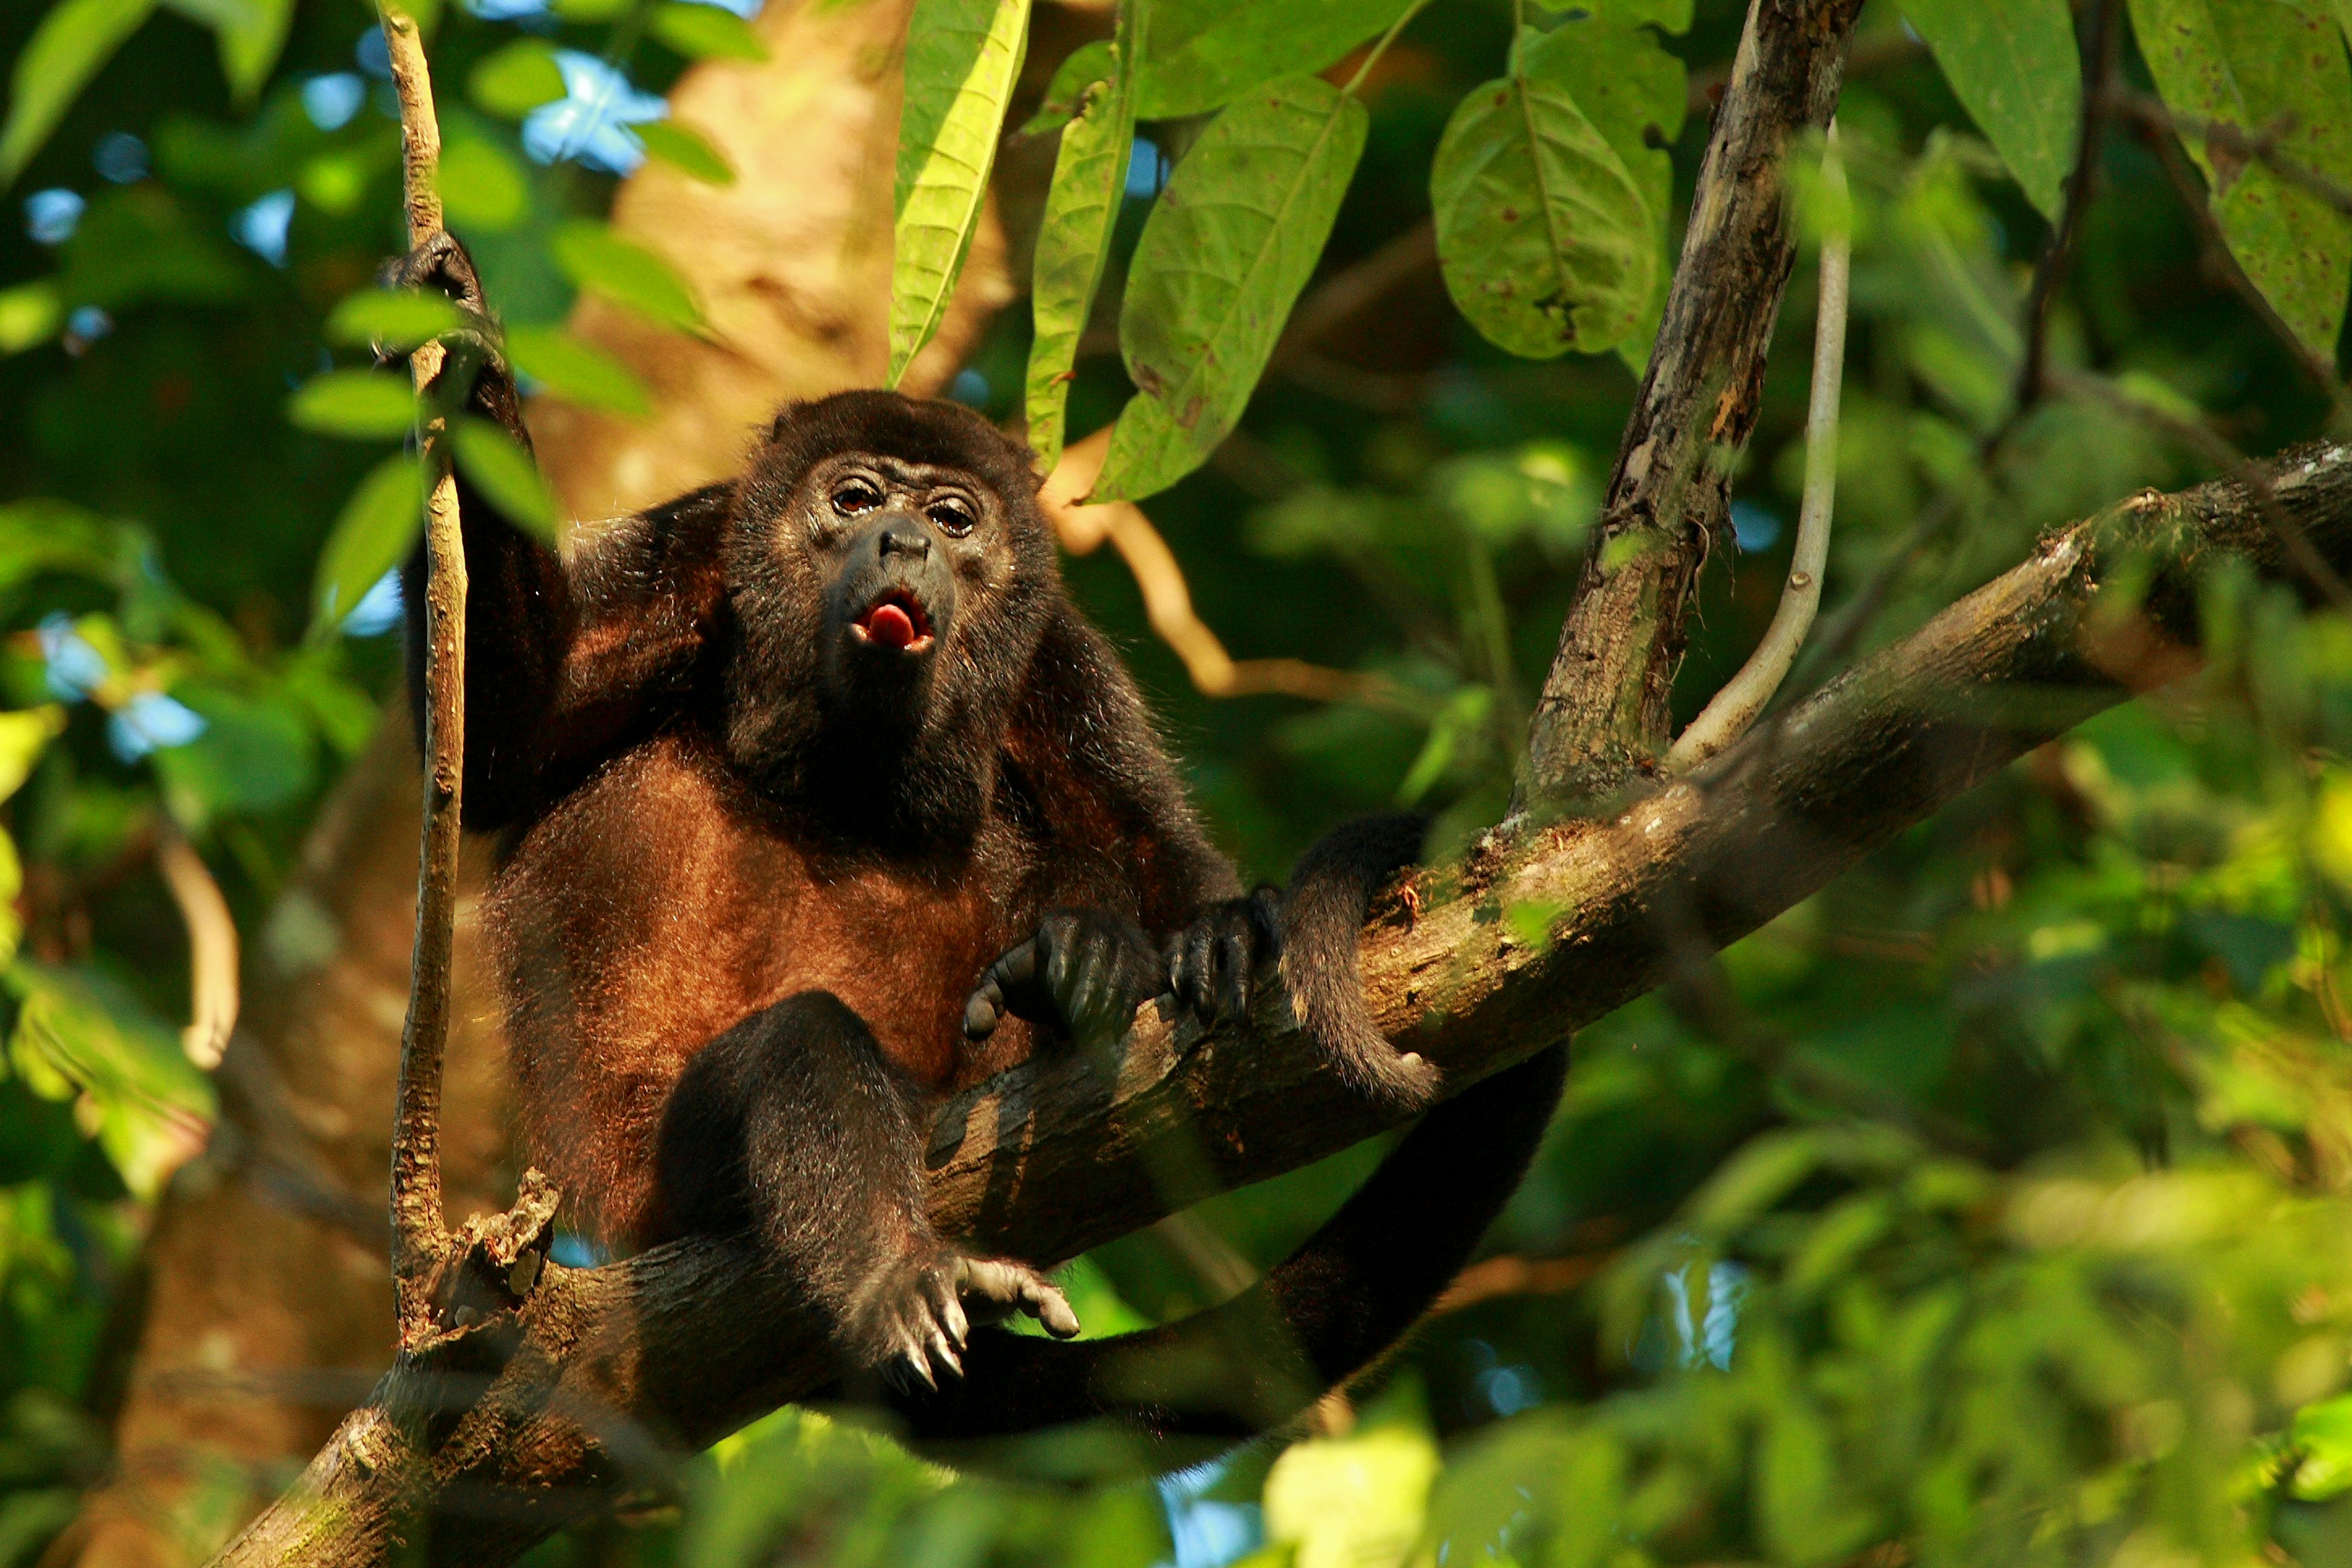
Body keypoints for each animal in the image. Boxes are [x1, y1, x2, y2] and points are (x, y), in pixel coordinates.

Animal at [395, 232, 1571, 1448]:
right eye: (853, 496)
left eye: (955, 519)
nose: (904, 539)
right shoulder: (694, 549)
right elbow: (504, 745)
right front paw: (475, 375)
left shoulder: (1054, 650)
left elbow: (1141, 832)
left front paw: (1214, 931)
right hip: (666, 1185)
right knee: (795, 1054)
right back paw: (905, 1272)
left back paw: (1068, 967)